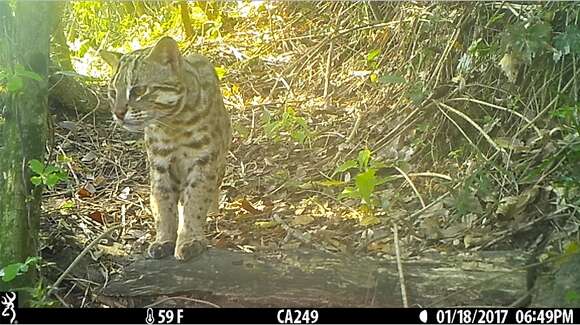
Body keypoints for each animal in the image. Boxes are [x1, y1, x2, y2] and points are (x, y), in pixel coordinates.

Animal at [102, 36, 231, 260]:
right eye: (112, 92)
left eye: (138, 90)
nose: (118, 113)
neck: (173, 124)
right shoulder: (159, 165)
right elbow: (163, 206)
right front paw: (164, 239)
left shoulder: (204, 160)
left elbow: (194, 202)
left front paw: (190, 239)